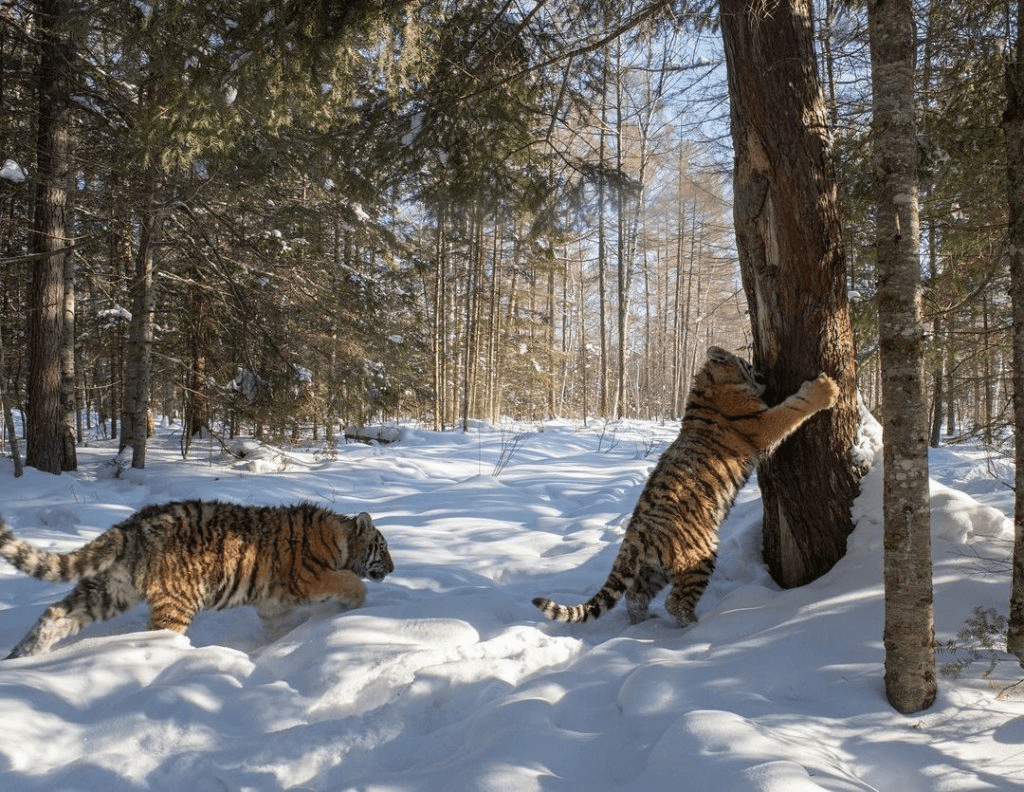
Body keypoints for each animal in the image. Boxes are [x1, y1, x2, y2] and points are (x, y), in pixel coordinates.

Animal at [0, 497, 393, 659]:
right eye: (384, 548)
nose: (392, 569)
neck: (341, 538)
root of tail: (131, 526)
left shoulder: (274, 604)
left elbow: (279, 630)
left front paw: (276, 649)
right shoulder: (310, 579)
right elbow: (351, 583)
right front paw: (354, 611)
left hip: (109, 590)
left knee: (55, 614)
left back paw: (23, 656)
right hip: (176, 602)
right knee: (156, 635)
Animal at [532, 346, 835, 631]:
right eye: (746, 364)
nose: (762, 372)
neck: (708, 386)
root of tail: (634, 537)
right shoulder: (762, 424)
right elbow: (793, 408)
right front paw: (826, 388)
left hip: (654, 569)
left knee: (636, 595)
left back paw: (644, 622)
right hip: (699, 557)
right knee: (675, 602)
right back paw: (694, 626)